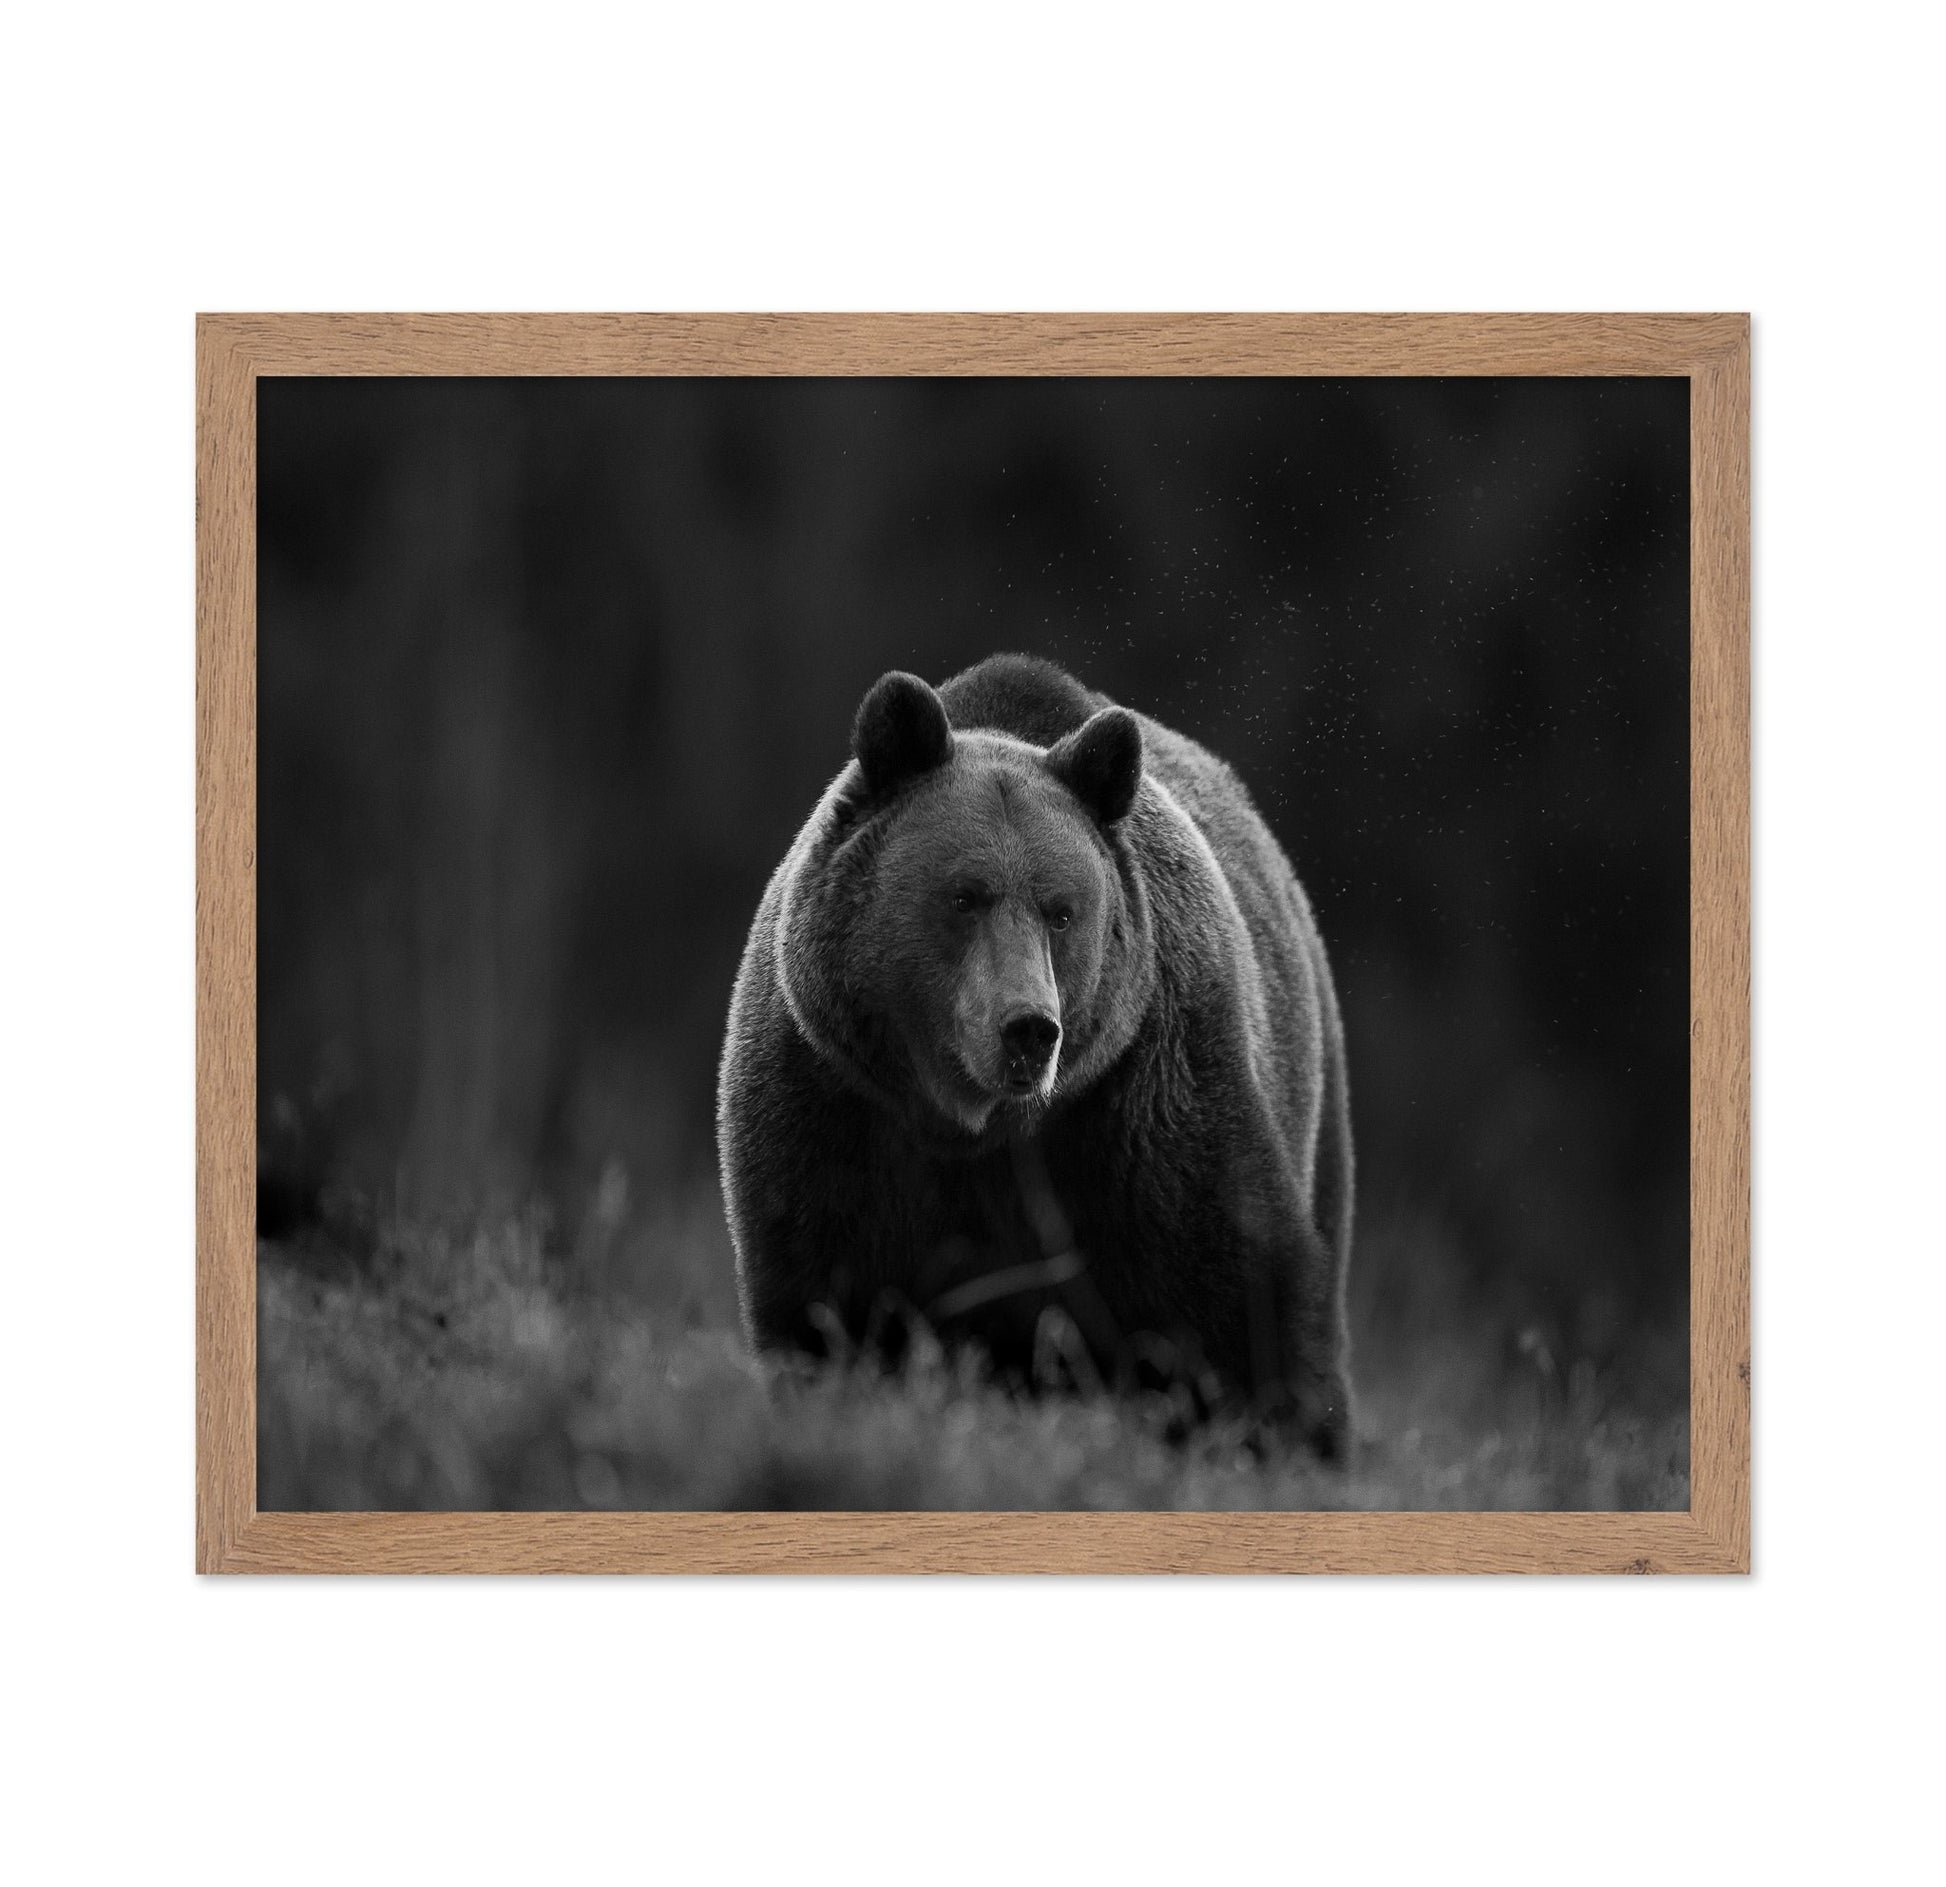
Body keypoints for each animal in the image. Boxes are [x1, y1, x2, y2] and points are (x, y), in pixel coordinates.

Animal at [717, 653, 1354, 1458]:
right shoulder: (831, 1109)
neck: (975, 1130)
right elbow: (827, 1312)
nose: (1029, 1028)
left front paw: (1287, 1436)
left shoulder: (1144, 1107)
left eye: (1062, 910)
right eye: (964, 896)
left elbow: (1239, 1299)